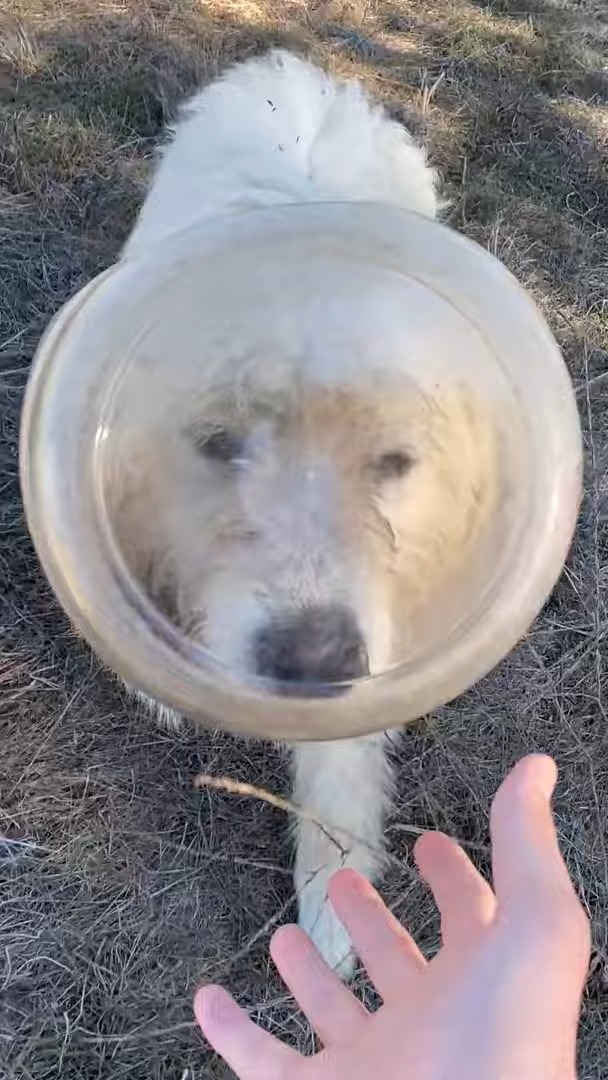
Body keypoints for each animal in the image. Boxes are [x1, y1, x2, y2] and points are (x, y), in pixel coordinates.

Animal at [117, 52, 494, 980]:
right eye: (221, 443)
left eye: (391, 463)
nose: (312, 664)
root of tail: (300, 79)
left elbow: (341, 772)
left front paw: (334, 904)